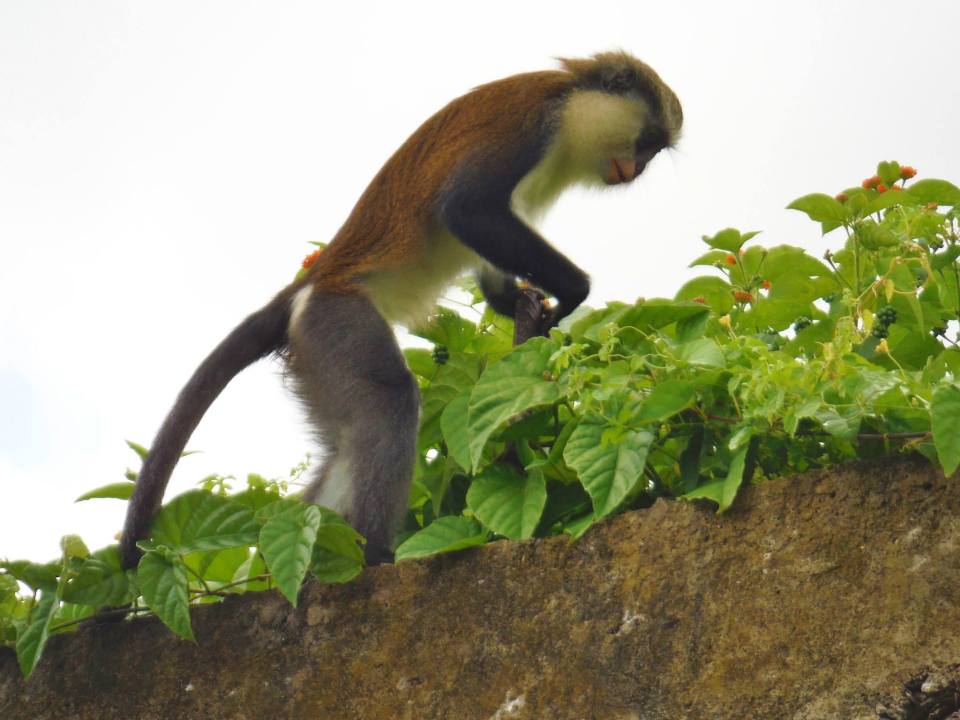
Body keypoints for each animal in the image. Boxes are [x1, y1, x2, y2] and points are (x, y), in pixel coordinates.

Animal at [119, 51, 683, 570]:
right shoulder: (531, 126)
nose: (637, 170)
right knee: (387, 400)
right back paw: (375, 557)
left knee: (347, 443)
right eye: (647, 144)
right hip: (334, 323)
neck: (568, 104)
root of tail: (308, 286)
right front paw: (572, 292)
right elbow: (468, 209)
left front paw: (523, 304)